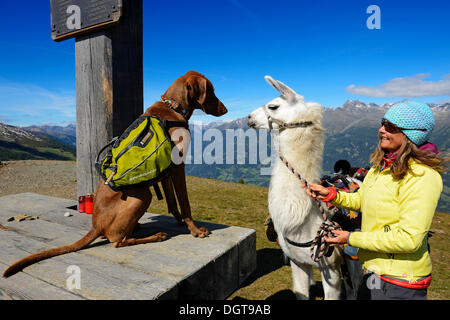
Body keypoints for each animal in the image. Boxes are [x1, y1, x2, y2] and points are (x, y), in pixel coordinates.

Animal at [2, 72, 229, 278]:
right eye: (211, 90)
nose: (226, 109)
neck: (171, 107)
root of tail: (96, 225)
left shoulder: (166, 172)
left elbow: (173, 203)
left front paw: (180, 221)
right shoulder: (178, 167)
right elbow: (185, 203)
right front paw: (195, 230)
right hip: (142, 197)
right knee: (117, 241)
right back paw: (155, 236)